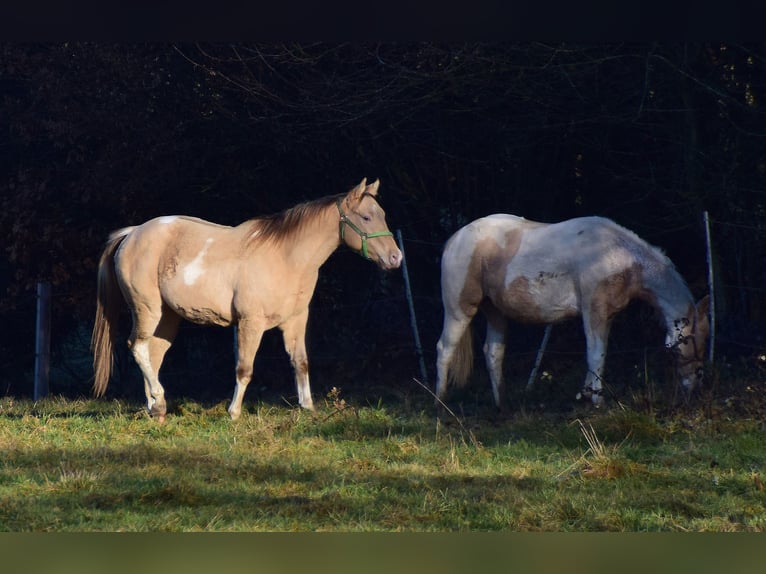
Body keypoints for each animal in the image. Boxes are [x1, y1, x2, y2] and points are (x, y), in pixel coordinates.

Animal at [91, 180, 402, 424]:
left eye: (383, 215)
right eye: (365, 217)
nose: (396, 258)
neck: (286, 257)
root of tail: (132, 233)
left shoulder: (296, 319)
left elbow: (300, 362)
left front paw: (308, 408)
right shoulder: (250, 323)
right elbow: (245, 368)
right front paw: (234, 412)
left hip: (167, 317)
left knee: (153, 355)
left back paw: (156, 408)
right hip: (147, 310)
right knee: (138, 348)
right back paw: (158, 402)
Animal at [436, 215, 712, 410]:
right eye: (692, 340)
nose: (695, 387)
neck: (617, 255)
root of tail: (454, 239)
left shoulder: (607, 316)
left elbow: (599, 355)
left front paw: (588, 394)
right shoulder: (593, 312)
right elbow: (596, 354)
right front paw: (596, 401)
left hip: (496, 313)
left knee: (493, 353)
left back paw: (501, 405)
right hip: (459, 310)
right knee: (444, 349)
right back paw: (440, 402)